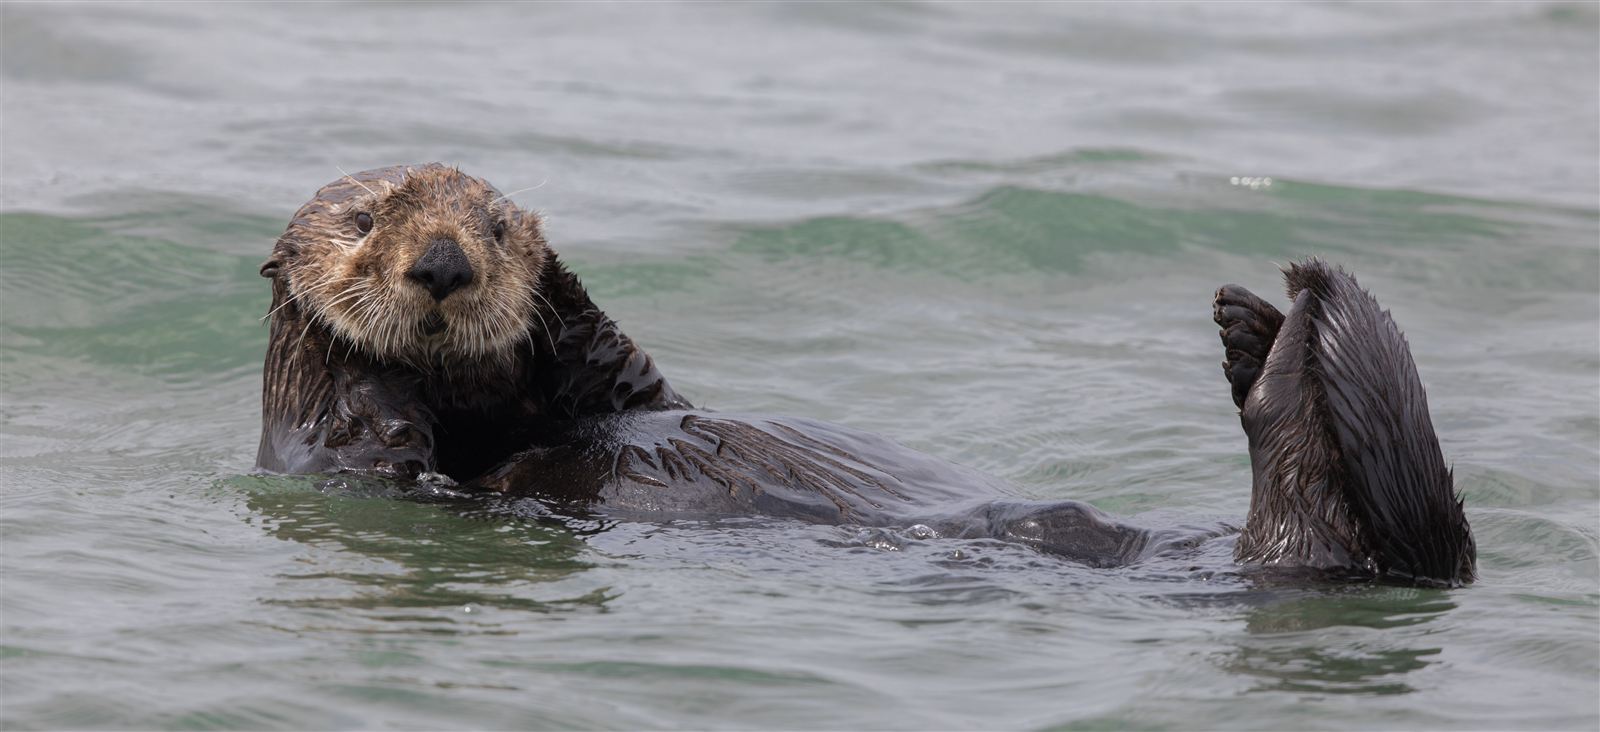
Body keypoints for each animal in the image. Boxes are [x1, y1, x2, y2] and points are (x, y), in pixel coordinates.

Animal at [256, 164, 1475, 586]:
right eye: (365, 220)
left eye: (499, 228)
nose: (445, 263)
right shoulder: (339, 457)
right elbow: (364, 444)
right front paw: (364, 373)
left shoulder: (619, 387)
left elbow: (622, 371)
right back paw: (1271, 344)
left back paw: (1257, 322)